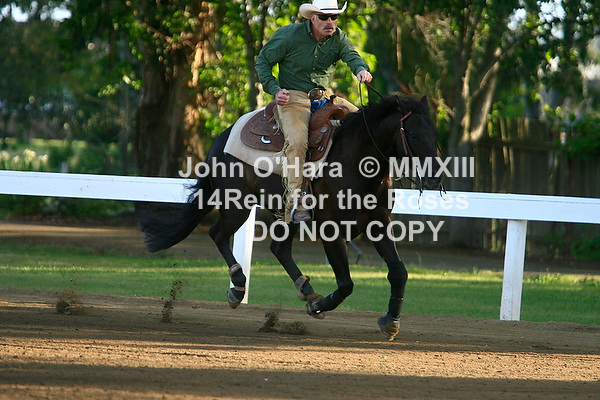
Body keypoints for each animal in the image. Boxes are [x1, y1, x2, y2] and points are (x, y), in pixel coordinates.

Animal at [138, 94, 443, 341]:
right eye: (413, 135)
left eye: (435, 134)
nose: (435, 177)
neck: (355, 160)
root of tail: (222, 137)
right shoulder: (331, 230)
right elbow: (346, 283)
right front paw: (318, 306)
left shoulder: (378, 224)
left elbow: (398, 272)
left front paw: (391, 321)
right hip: (237, 205)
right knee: (219, 234)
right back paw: (238, 288)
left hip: (287, 215)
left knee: (279, 248)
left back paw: (304, 288)